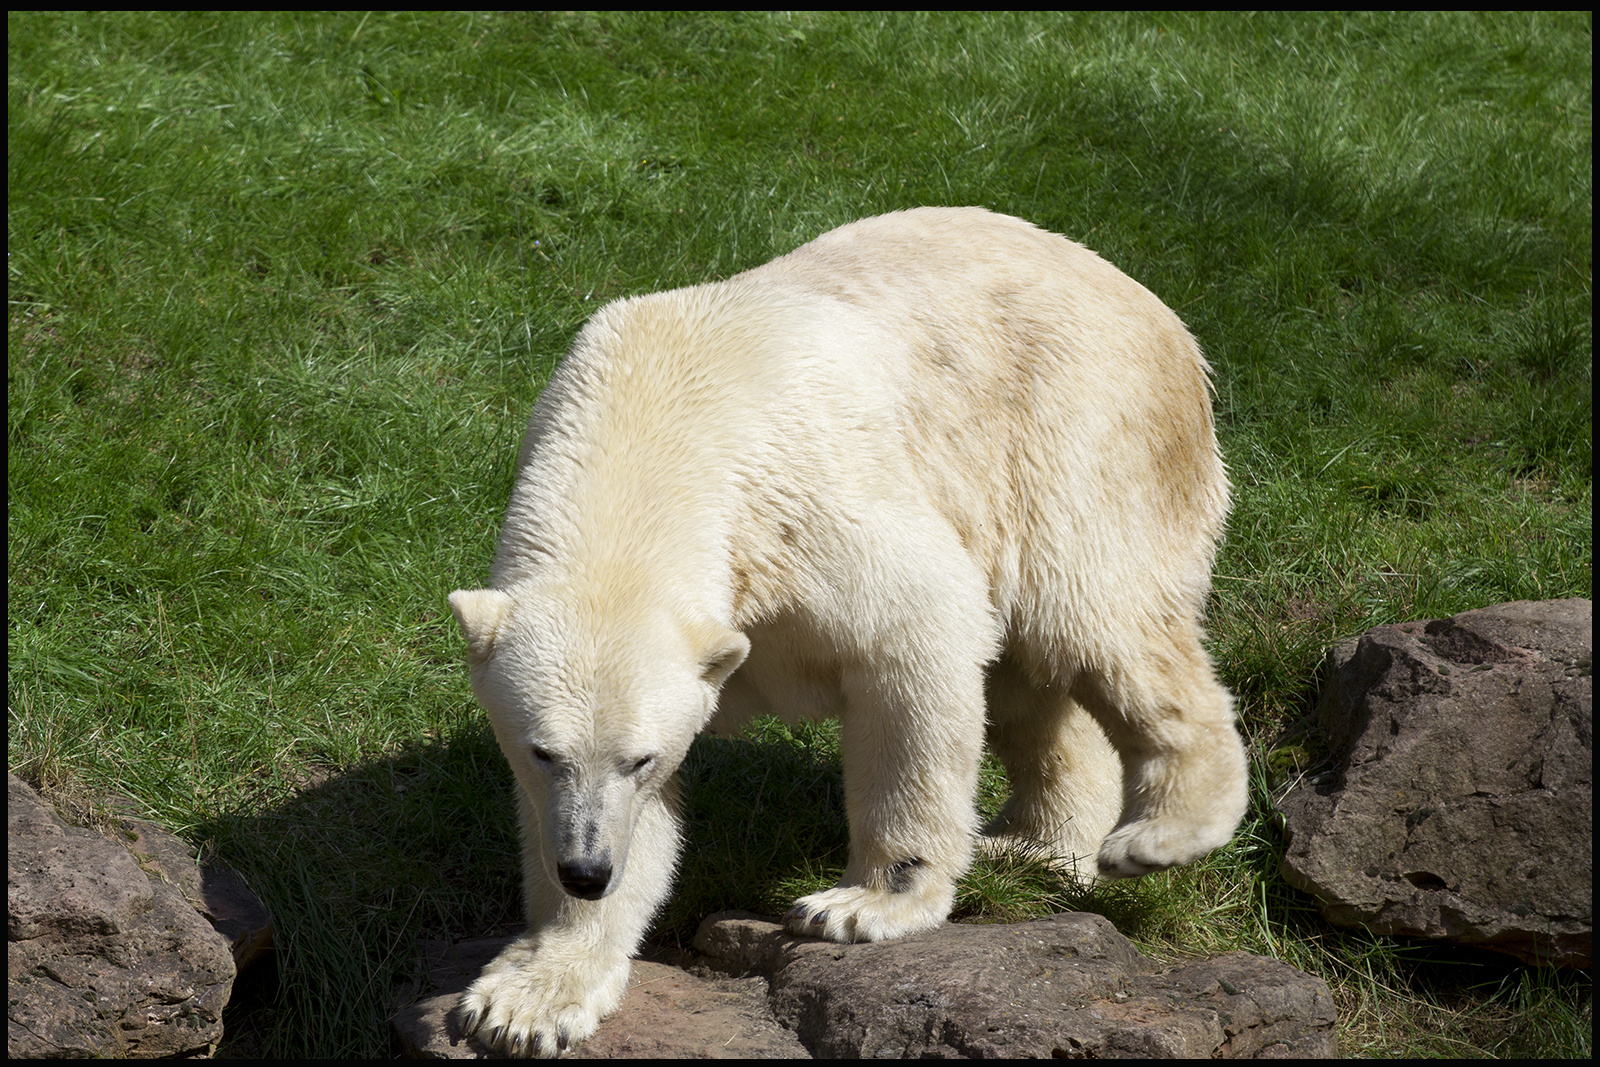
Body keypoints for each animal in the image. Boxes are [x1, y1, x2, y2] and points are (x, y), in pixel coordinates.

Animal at [451, 204, 1248, 1055]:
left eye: (640, 756)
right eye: (543, 751)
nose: (586, 869)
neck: (650, 413)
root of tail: (1160, 315)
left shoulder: (807, 501)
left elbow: (919, 632)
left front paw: (865, 903)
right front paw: (529, 998)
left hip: (1077, 433)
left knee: (1092, 612)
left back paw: (1161, 829)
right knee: (1030, 680)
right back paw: (1038, 843)